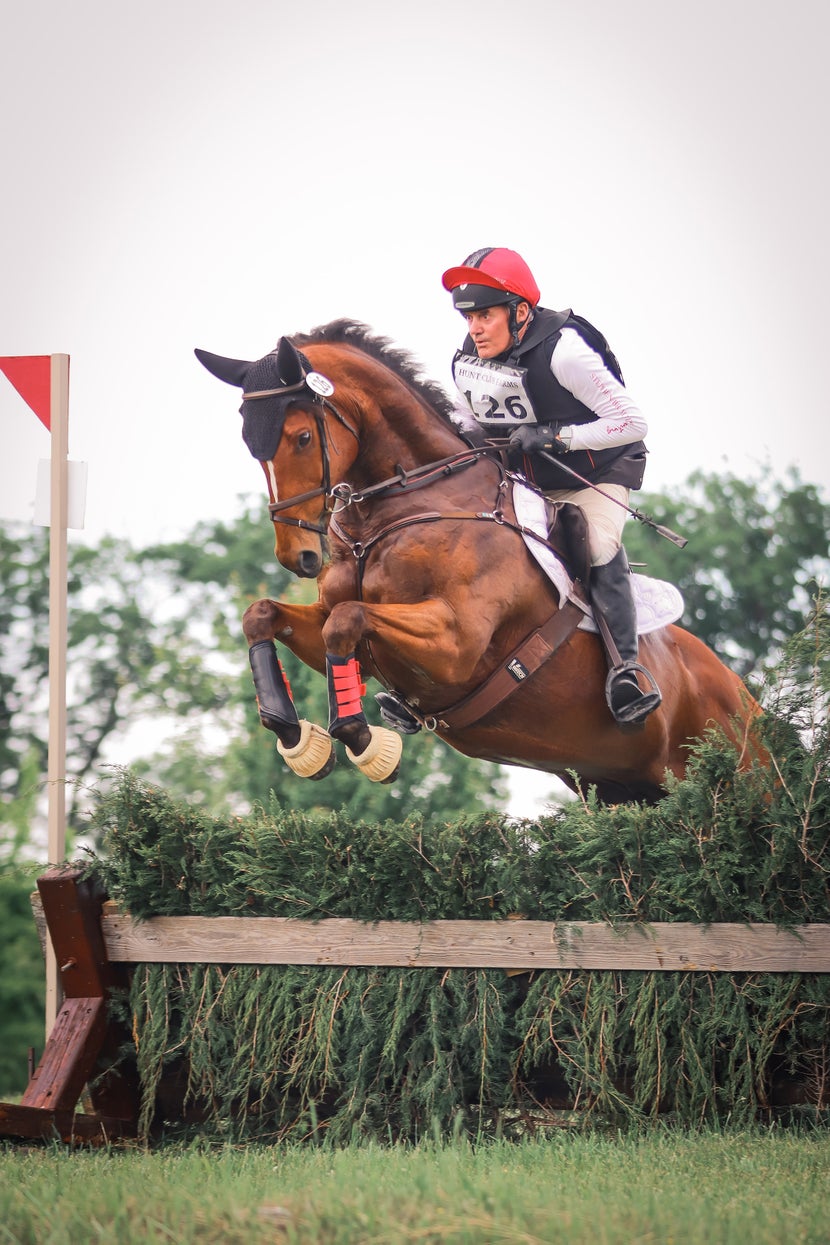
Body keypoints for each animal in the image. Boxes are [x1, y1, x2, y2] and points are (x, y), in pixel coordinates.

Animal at [196, 318, 766, 806]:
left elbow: (346, 620)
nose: (298, 556)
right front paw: (296, 738)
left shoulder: (456, 643)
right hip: (619, 789)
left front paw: (363, 742)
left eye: (302, 437)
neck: (401, 507)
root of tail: (744, 693)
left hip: (739, 772)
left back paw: (630, 690)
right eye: (250, 444)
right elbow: (264, 615)